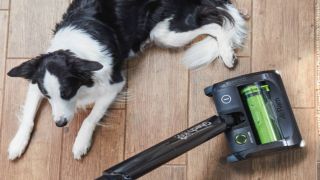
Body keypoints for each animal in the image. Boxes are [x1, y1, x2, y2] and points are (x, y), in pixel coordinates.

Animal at [6, 0, 248, 160]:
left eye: (67, 92)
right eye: (48, 96)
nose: (60, 124)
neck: (74, 51)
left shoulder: (115, 83)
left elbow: (90, 118)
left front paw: (81, 142)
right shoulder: (36, 83)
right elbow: (28, 116)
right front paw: (17, 143)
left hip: (167, 32)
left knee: (217, 22)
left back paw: (227, 53)